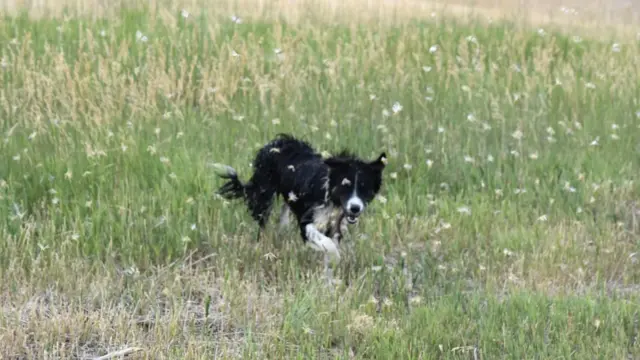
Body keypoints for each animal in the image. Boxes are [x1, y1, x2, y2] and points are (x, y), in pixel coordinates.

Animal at [214, 134, 384, 260]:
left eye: (364, 189)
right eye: (345, 186)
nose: (355, 208)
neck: (330, 194)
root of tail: (278, 142)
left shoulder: (335, 222)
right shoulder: (307, 220)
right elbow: (327, 244)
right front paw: (335, 257)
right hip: (264, 194)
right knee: (262, 223)